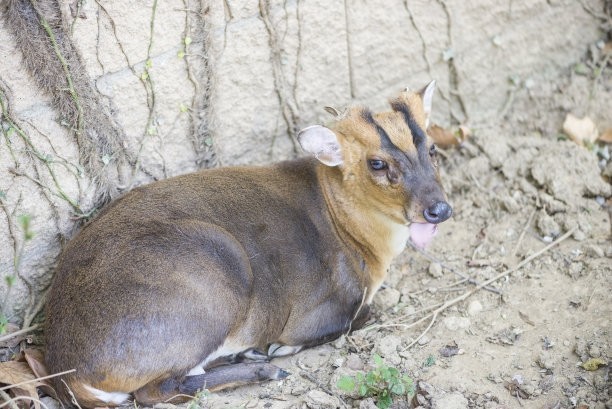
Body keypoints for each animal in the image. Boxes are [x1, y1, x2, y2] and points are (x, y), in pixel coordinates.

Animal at [45, 81, 452, 406]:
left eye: (431, 148)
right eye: (377, 163)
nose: (438, 209)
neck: (350, 232)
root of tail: (69, 374)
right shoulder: (316, 311)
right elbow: (363, 315)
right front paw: (277, 349)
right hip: (213, 285)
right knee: (156, 390)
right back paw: (263, 369)